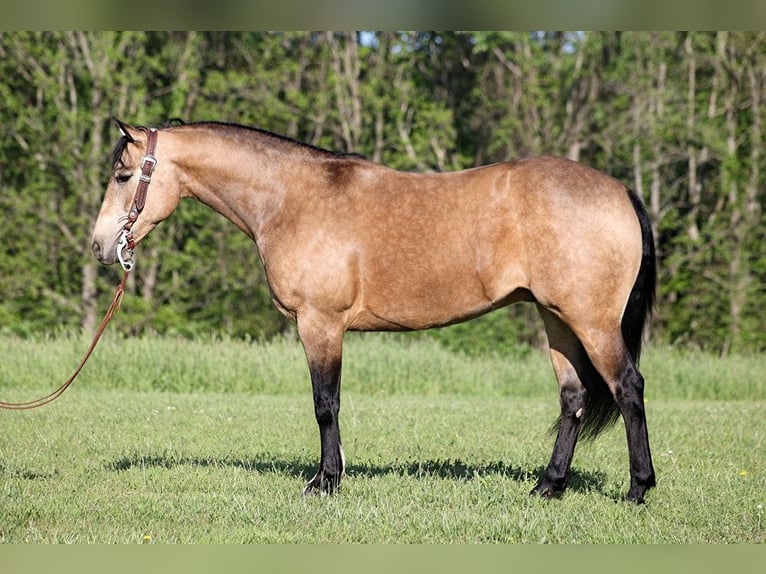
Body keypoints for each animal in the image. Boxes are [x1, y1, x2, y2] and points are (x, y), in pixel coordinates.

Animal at [88, 120, 656, 504]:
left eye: (122, 175)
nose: (100, 246)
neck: (292, 199)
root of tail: (619, 190)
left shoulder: (320, 324)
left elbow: (325, 404)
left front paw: (325, 482)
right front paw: (331, 476)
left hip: (592, 322)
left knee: (628, 387)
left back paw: (637, 489)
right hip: (557, 318)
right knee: (573, 397)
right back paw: (547, 487)